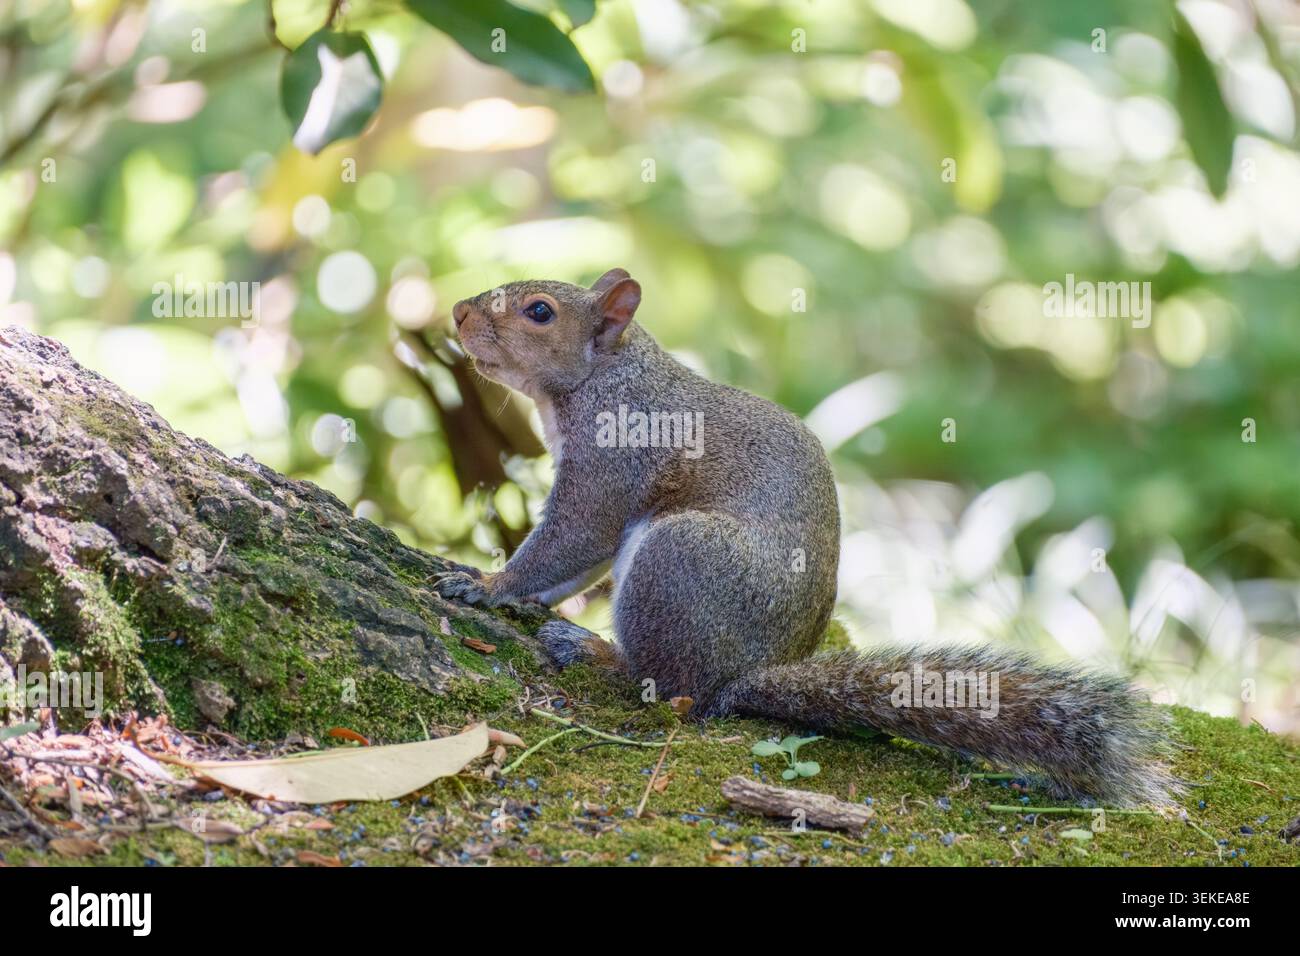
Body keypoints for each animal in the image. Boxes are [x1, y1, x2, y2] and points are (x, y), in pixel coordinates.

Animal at [433, 269, 1176, 807]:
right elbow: (570, 567)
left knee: (675, 690)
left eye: (539, 312)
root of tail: (749, 673)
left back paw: (594, 652)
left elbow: (570, 538)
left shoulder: (613, 461)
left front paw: (488, 584)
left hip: (679, 560)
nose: (459, 313)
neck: (606, 374)